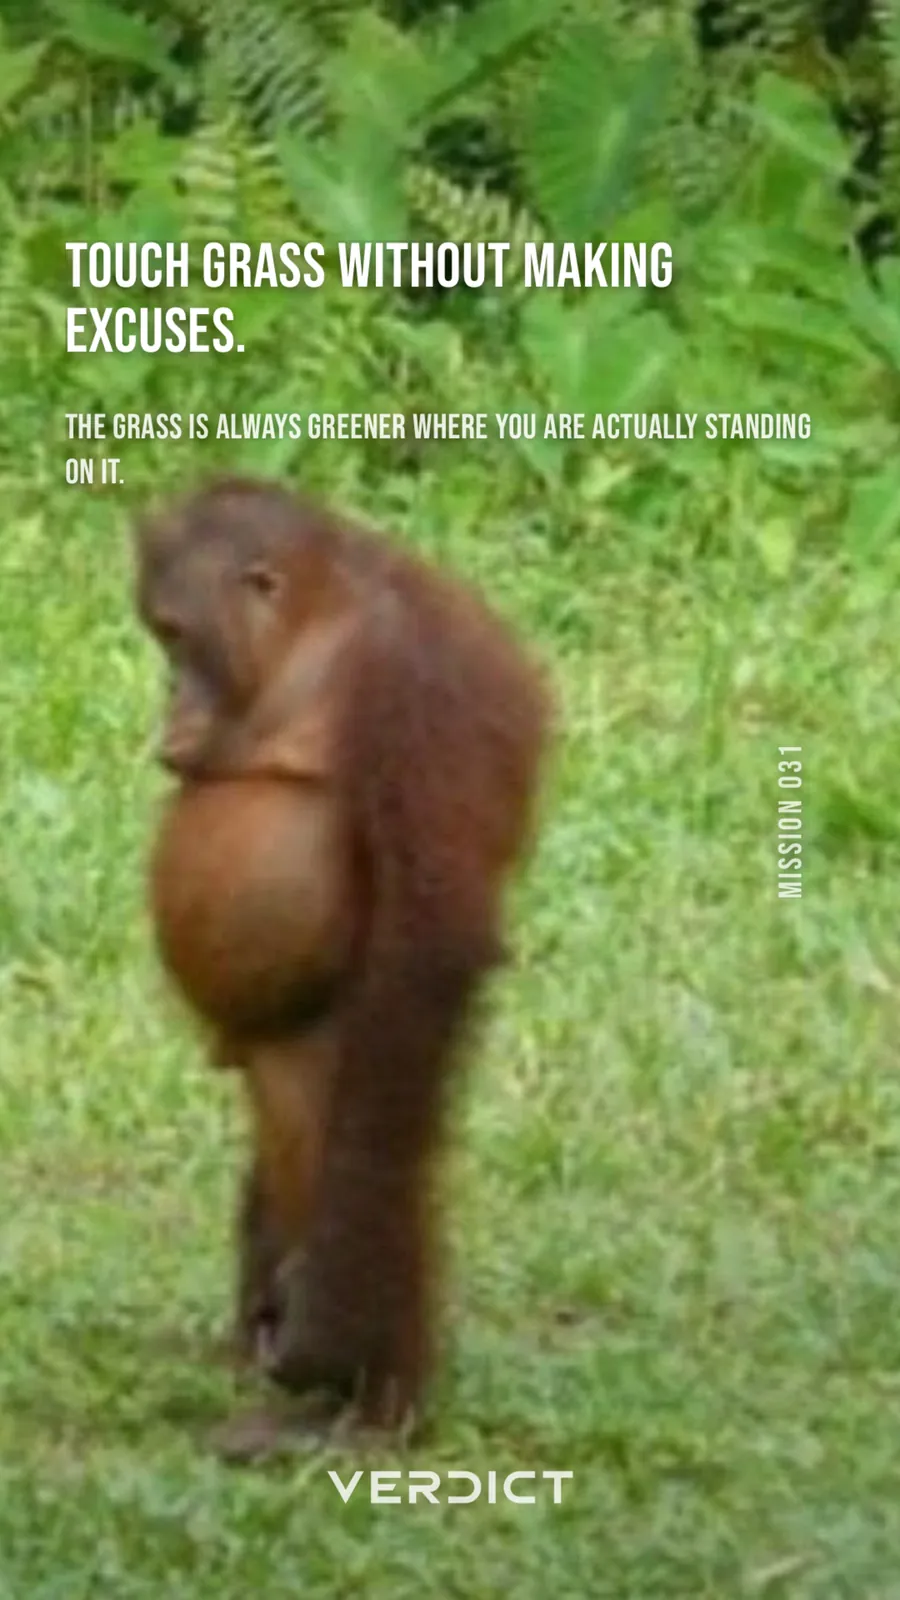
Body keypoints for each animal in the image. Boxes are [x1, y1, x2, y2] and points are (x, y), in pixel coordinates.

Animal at [135, 475, 551, 1458]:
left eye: (175, 634)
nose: (167, 697)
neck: (317, 632)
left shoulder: (414, 689)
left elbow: (430, 933)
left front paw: (326, 1329)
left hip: (350, 1055)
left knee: (361, 1139)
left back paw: (365, 1409)